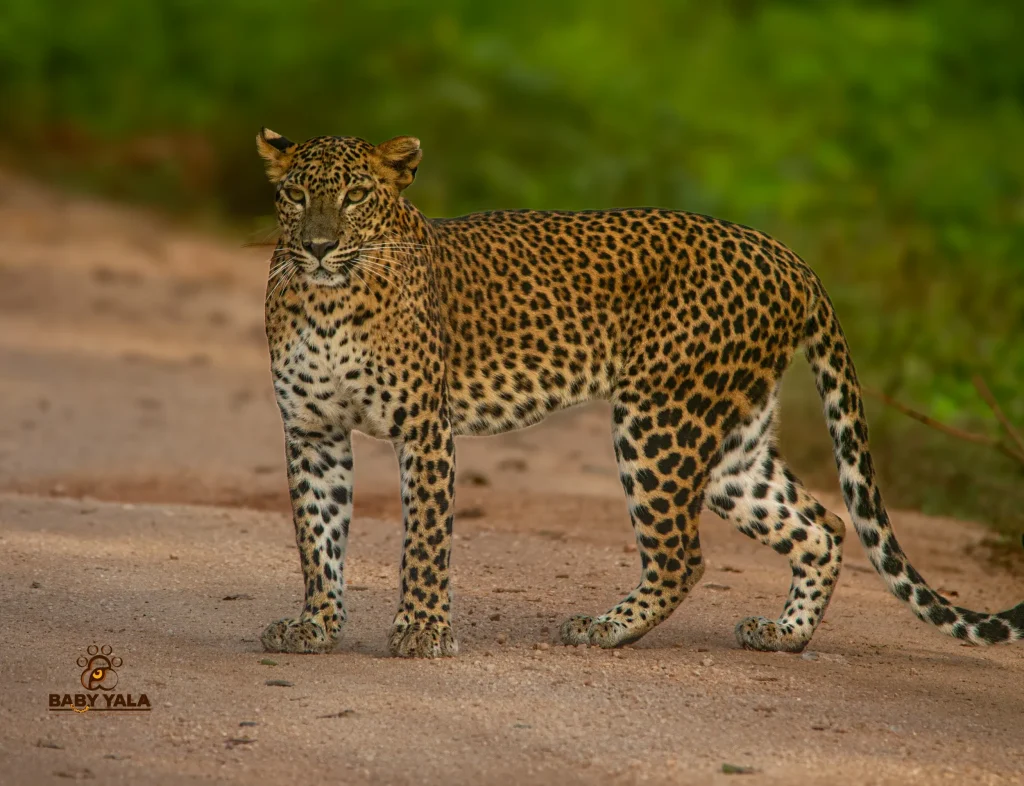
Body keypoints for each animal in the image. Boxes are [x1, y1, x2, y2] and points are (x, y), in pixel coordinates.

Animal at [255, 128, 1024, 658]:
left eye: (355, 196)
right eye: (295, 196)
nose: (318, 246)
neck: (328, 300)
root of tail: (786, 255)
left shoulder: (424, 429)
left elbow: (423, 540)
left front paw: (420, 633)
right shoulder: (312, 432)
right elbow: (317, 536)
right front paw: (316, 626)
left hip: (660, 419)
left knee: (683, 554)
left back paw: (606, 628)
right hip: (733, 446)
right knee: (822, 526)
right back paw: (784, 635)